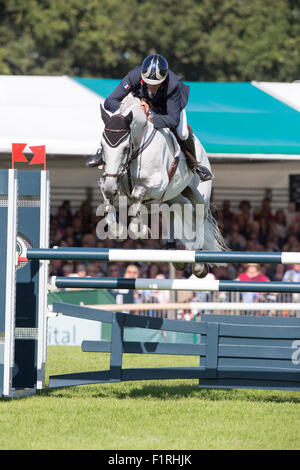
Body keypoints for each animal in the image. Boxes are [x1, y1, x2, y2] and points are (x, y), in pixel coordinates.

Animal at [97, 94, 226, 278]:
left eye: (125, 148)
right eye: (102, 146)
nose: (110, 188)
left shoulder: (157, 184)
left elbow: (138, 193)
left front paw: (139, 231)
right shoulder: (113, 180)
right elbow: (112, 197)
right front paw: (118, 230)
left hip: (199, 195)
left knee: (199, 215)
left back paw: (198, 260)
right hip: (174, 197)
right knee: (172, 212)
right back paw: (173, 251)